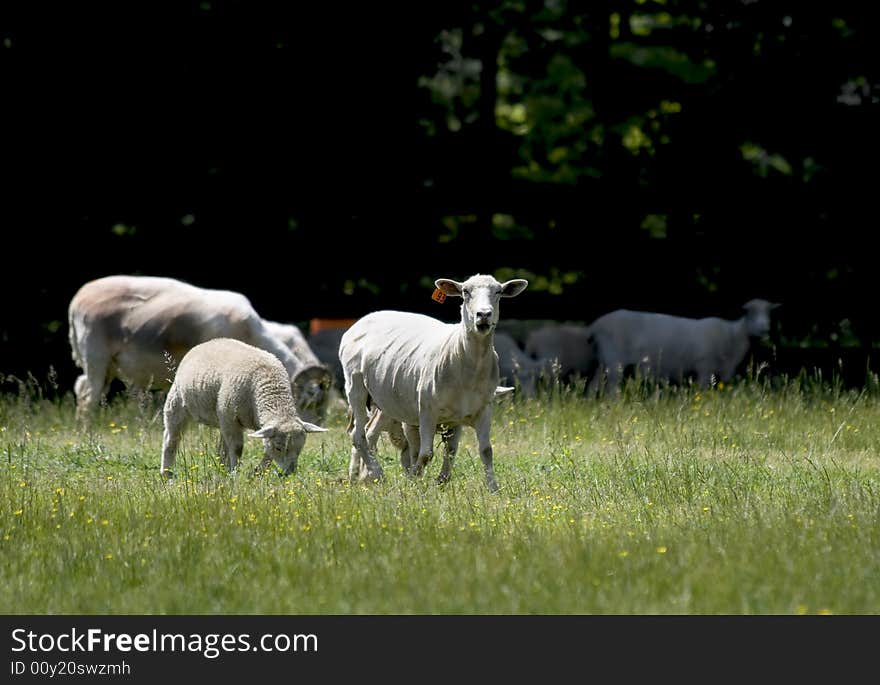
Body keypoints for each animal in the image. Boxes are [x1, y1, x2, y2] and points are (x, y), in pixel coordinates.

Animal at [68, 272, 330, 422]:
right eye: (308, 403)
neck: (251, 333)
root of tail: (78, 298)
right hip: (96, 358)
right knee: (88, 397)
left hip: (108, 368)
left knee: (82, 390)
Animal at [159, 336, 326, 476]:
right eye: (279, 447)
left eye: (300, 447)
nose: (289, 473)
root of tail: (209, 341)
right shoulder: (231, 418)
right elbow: (238, 448)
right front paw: (236, 474)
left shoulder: (254, 424)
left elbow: (266, 451)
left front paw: (257, 472)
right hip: (177, 402)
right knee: (171, 438)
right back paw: (167, 473)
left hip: (221, 418)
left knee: (222, 445)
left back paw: (222, 469)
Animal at [338, 272, 528, 492]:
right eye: (465, 292)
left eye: (498, 292)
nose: (483, 315)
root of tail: (363, 320)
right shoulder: (427, 411)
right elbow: (425, 453)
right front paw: (414, 482)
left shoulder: (480, 410)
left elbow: (482, 450)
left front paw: (490, 488)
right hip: (356, 387)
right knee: (358, 435)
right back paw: (375, 474)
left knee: (367, 434)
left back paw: (360, 475)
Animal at [588, 298, 780, 392]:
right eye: (750, 312)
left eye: (769, 313)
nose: (764, 328)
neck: (732, 335)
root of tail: (596, 325)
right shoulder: (704, 367)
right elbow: (704, 391)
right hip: (614, 361)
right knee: (611, 389)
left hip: (603, 362)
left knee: (593, 386)